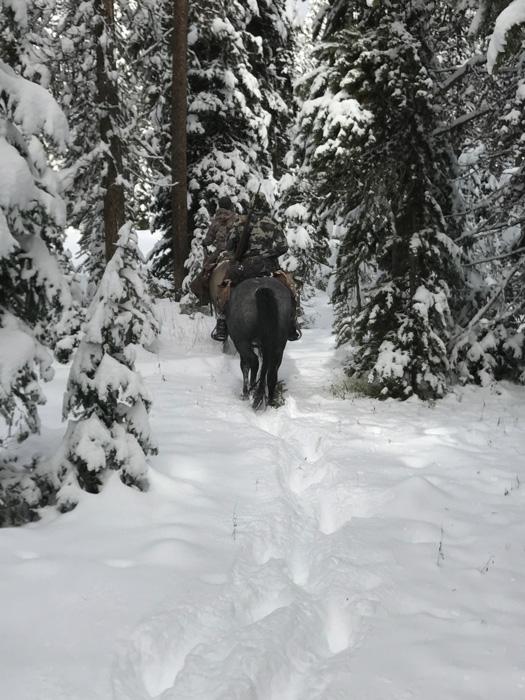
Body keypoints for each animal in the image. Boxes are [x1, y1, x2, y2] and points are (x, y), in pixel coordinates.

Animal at [225, 276, 292, 410]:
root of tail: (263, 290)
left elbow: (245, 367)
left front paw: (245, 393)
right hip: (279, 345)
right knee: (272, 372)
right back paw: (269, 402)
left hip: (242, 342)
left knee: (254, 362)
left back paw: (251, 392)